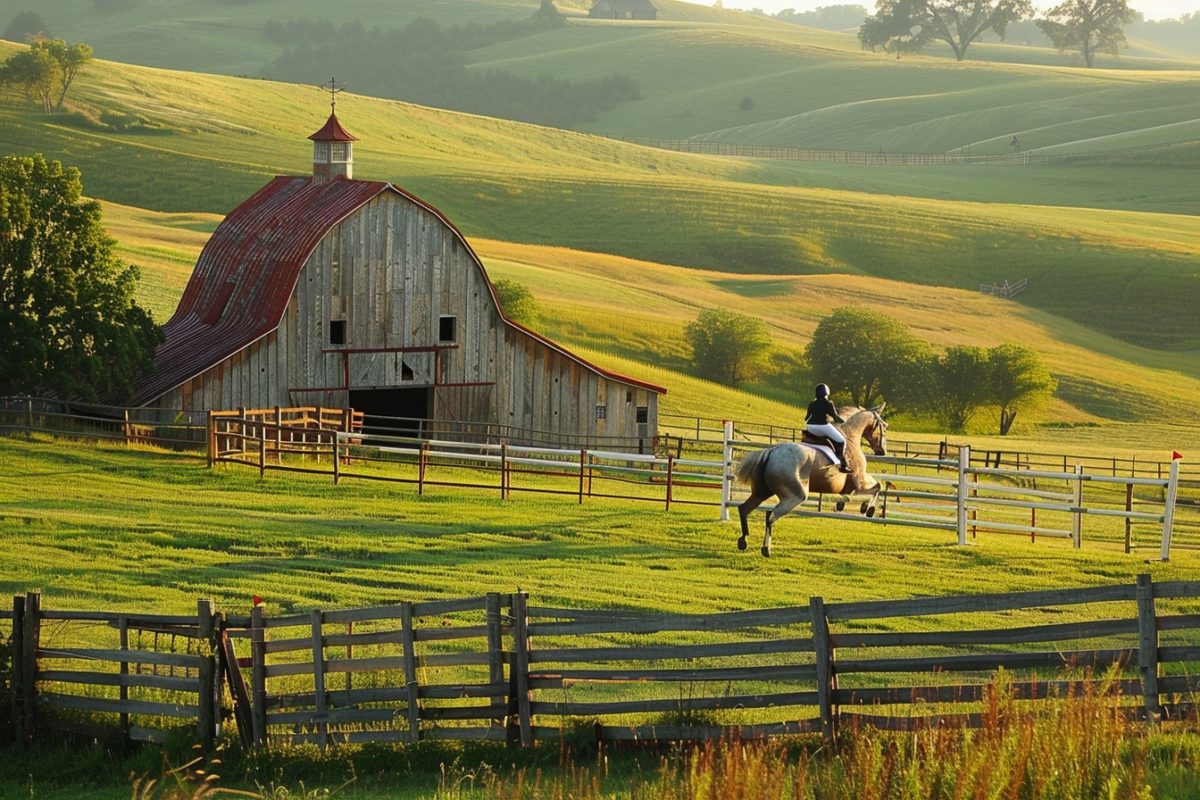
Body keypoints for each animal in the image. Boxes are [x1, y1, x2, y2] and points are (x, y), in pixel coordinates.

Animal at [729, 402, 892, 561]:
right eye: (884, 426)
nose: (882, 451)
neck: (850, 436)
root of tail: (771, 452)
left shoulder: (849, 485)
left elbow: (860, 491)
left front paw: (847, 505)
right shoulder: (858, 479)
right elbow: (877, 486)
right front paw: (868, 509)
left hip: (762, 492)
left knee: (744, 509)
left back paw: (743, 541)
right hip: (795, 496)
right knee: (771, 515)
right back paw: (765, 549)